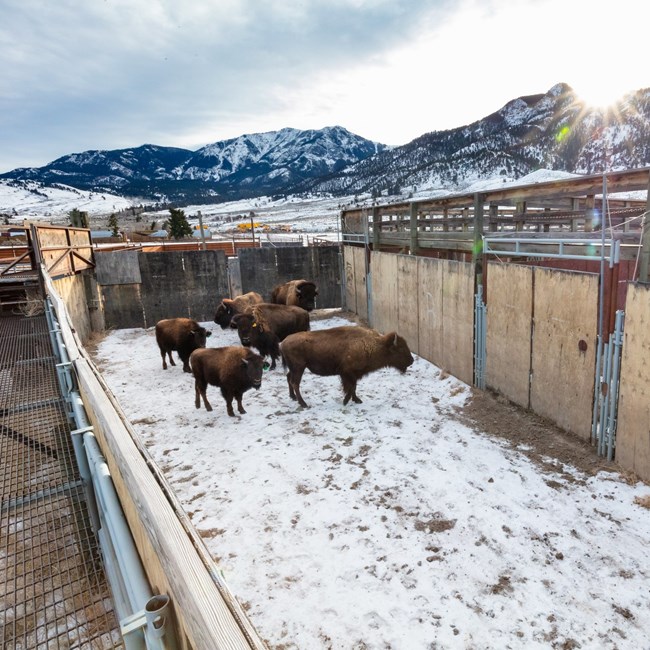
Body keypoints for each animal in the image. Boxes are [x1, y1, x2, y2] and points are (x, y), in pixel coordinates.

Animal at [280, 324, 412, 404]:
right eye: (400, 349)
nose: (411, 360)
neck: (373, 345)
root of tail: (283, 343)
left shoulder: (353, 374)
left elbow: (353, 386)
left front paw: (356, 400)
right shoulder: (347, 372)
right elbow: (351, 386)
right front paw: (346, 401)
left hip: (295, 369)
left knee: (289, 378)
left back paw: (293, 397)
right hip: (299, 368)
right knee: (295, 383)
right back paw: (303, 404)